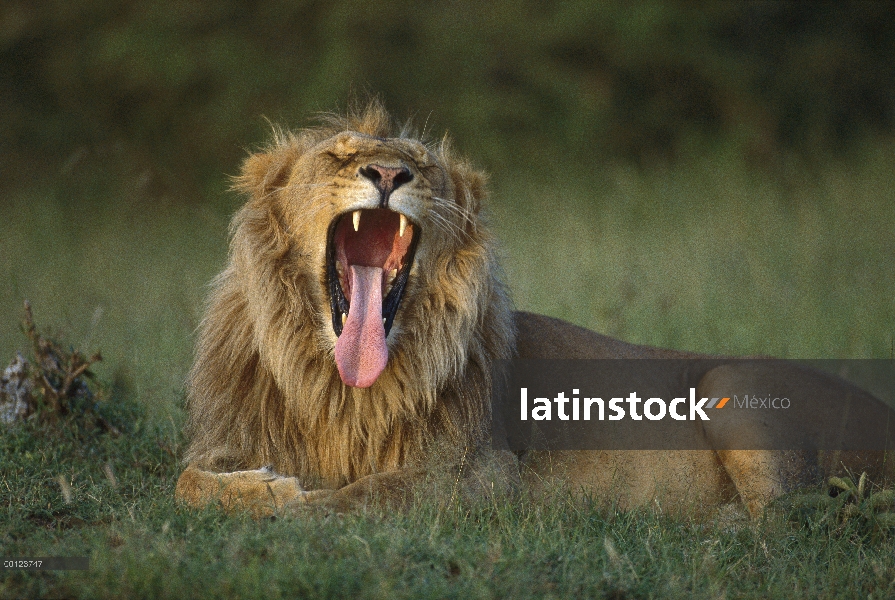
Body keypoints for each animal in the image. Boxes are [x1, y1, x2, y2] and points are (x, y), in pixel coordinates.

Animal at [177, 101, 895, 516]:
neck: (336, 385)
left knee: (795, 524)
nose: (387, 176)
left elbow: (354, 498)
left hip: (732, 385)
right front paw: (257, 486)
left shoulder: (482, 474)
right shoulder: (228, 438)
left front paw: (286, 498)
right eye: (339, 155)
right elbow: (187, 483)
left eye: (422, 166)